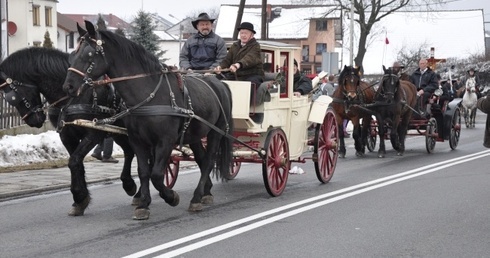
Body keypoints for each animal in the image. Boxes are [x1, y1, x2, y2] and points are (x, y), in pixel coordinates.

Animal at [0, 46, 140, 216]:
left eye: (11, 97)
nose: (32, 120)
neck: (75, 95)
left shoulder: (94, 132)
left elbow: (74, 161)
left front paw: (79, 195)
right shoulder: (66, 135)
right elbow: (75, 162)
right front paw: (80, 200)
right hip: (118, 132)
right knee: (130, 152)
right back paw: (129, 184)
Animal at [63, 21, 235, 221]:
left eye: (89, 54)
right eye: (73, 54)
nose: (68, 87)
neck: (149, 93)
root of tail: (219, 83)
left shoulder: (165, 141)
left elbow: (157, 175)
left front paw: (171, 196)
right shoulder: (137, 141)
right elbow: (144, 171)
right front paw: (143, 204)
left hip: (216, 132)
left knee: (208, 161)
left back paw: (196, 198)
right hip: (195, 135)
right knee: (200, 158)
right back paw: (205, 192)